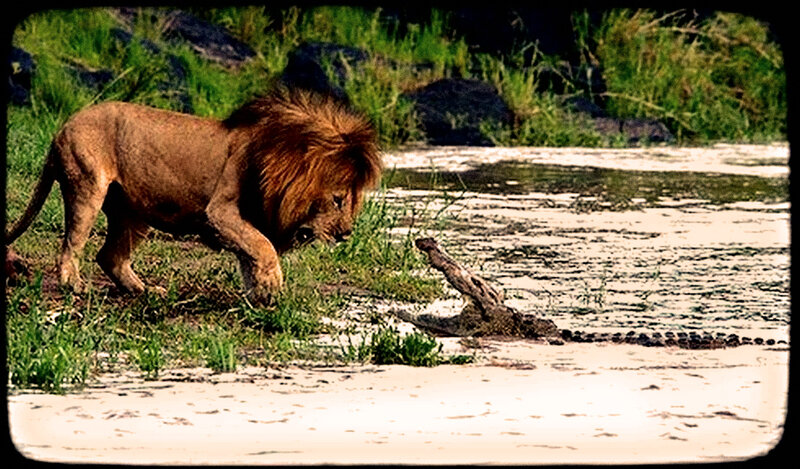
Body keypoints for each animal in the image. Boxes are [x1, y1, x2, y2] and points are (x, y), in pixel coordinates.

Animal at [5, 86, 382, 304]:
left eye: (354, 203)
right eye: (338, 200)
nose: (346, 234)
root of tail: (61, 129)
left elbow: (250, 254)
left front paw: (260, 296)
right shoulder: (220, 211)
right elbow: (263, 246)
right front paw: (273, 285)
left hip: (132, 213)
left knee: (110, 256)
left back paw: (145, 292)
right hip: (87, 185)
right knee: (71, 245)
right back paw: (75, 286)